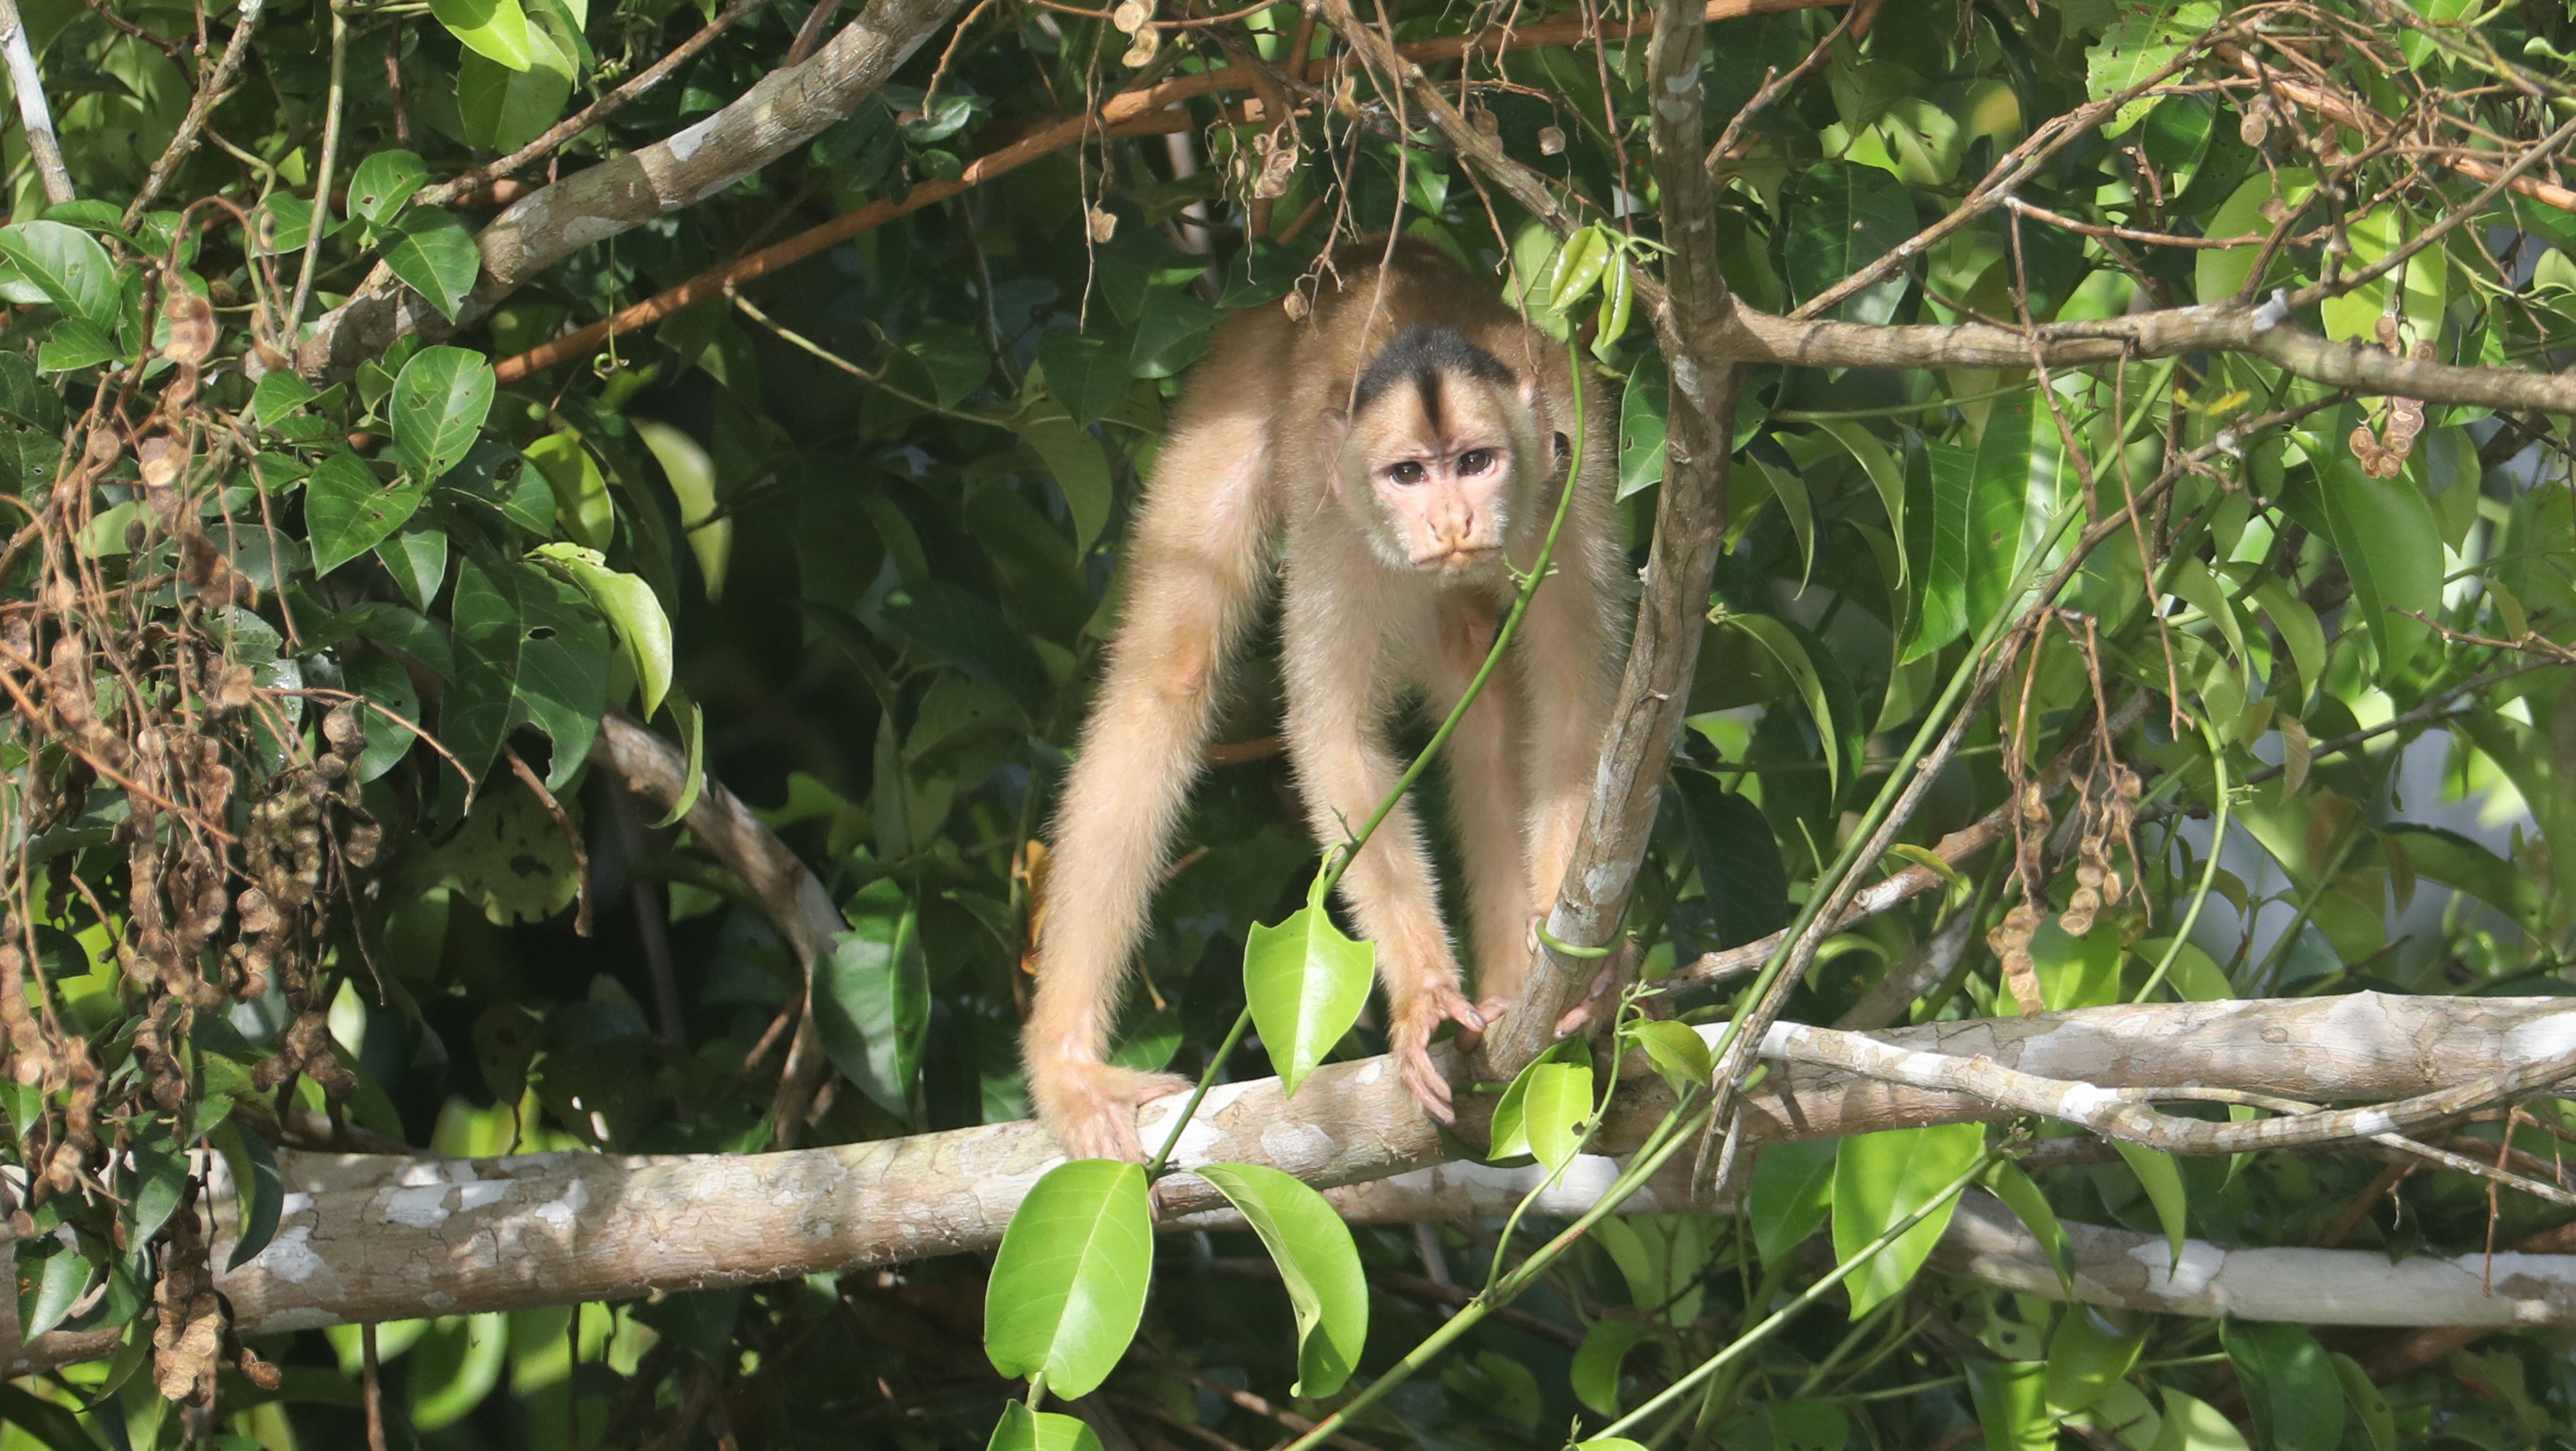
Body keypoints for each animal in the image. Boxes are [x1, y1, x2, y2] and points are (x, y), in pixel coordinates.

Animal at [1015, 241, 1617, 1170]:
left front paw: (1572, 961)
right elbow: (1335, 734)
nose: (1452, 520)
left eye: (1475, 462)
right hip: (1238, 376)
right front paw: (1425, 998)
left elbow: (1574, 715)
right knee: (1168, 671)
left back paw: (1510, 993)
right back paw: (1069, 1067)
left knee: (1480, 685)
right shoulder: (1339, 526)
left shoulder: (1572, 478)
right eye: (1407, 474)